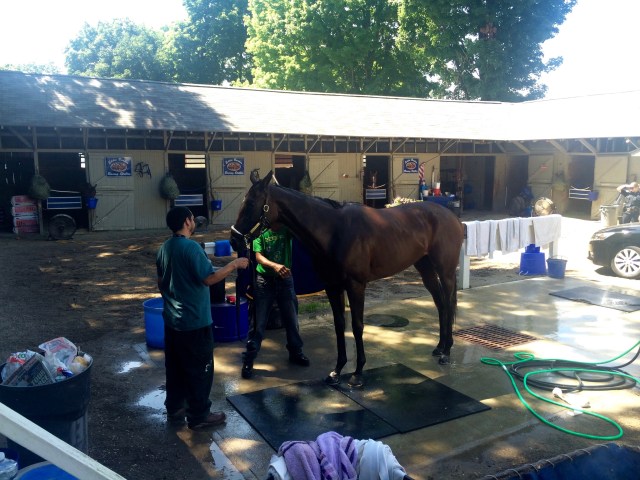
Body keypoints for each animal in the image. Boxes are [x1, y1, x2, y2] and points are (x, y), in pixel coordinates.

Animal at [230, 171, 464, 387]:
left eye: (251, 203)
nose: (234, 240)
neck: (334, 229)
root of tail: (452, 217)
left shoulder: (356, 285)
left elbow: (357, 325)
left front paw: (357, 373)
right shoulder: (332, 286)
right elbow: (339, 324)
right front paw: (337, 370)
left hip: (445, 271)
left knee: (448, 304)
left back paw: (446, 352)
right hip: (426, 269)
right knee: (441, 305)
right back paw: (440, 347)